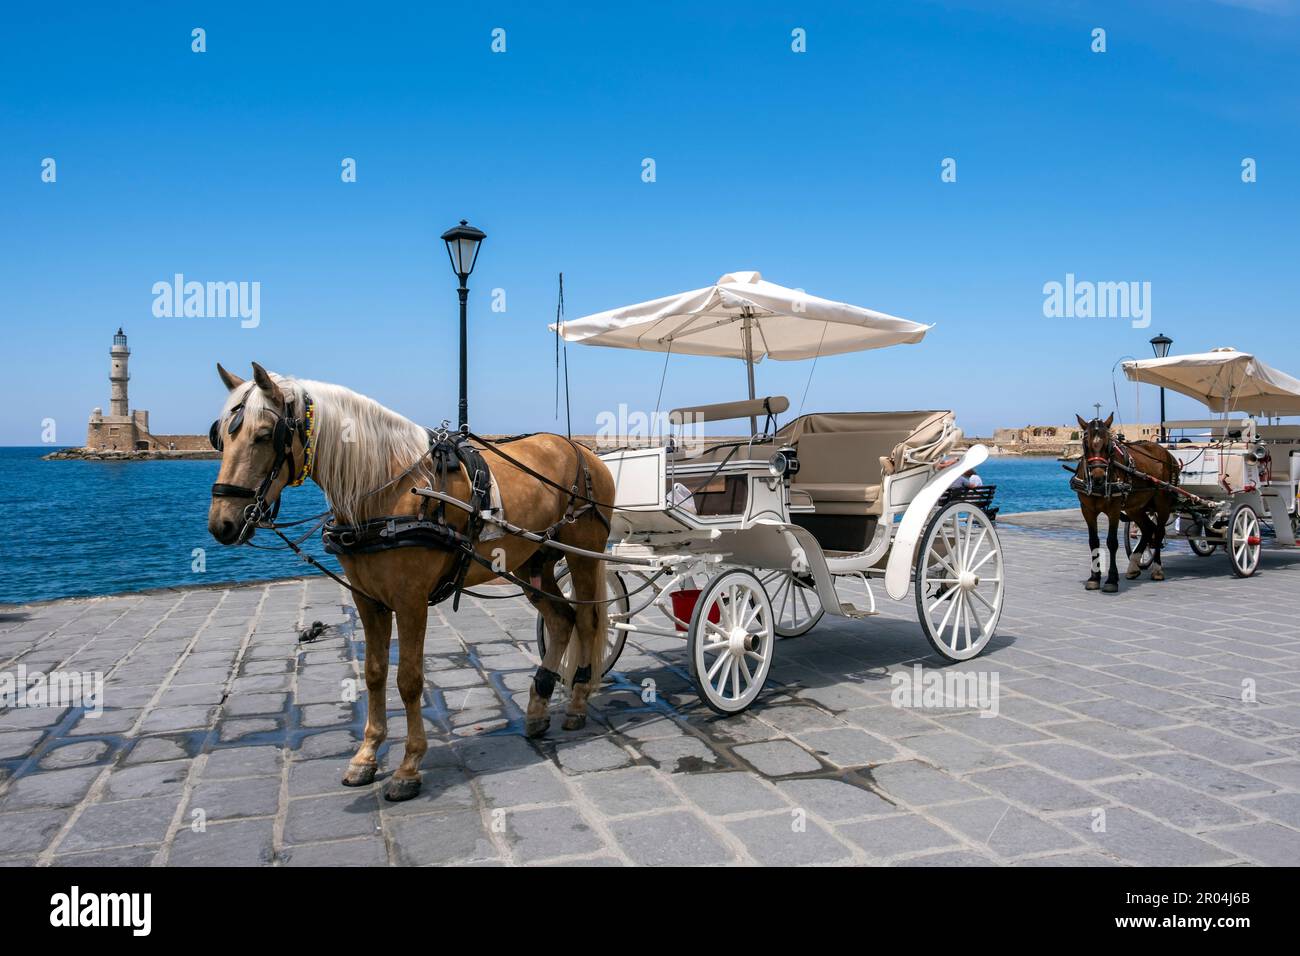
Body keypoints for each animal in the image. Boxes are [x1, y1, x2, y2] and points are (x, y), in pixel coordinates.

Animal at [208, 364, 613, 801]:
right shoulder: (367, 598)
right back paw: (538, 708)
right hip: (531, 563)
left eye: (265, 434)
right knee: (560, 619)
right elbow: (373, 673)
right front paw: (366, 756)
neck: (387, 486)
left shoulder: (411, 599)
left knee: (588, 621)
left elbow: (409, 679)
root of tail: (583, 451)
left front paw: (408, 766)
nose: (221, 524)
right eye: (220, 437)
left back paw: (577, 702)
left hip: (584, 554)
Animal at [1071, 416, 1185, 595]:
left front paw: (1111, 580)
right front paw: (1094, 578)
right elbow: (1093, 542)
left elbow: (1112, 542)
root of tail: (1167, 453)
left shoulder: (1114, 509)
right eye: (1086, 442)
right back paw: (1133, 567)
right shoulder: (1087, 510)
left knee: (1159, 532)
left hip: (1162, 502)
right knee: (1148, 529)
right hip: (1135, 507)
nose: (1098, 477)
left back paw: (1157, 569)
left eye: (1108, 445)